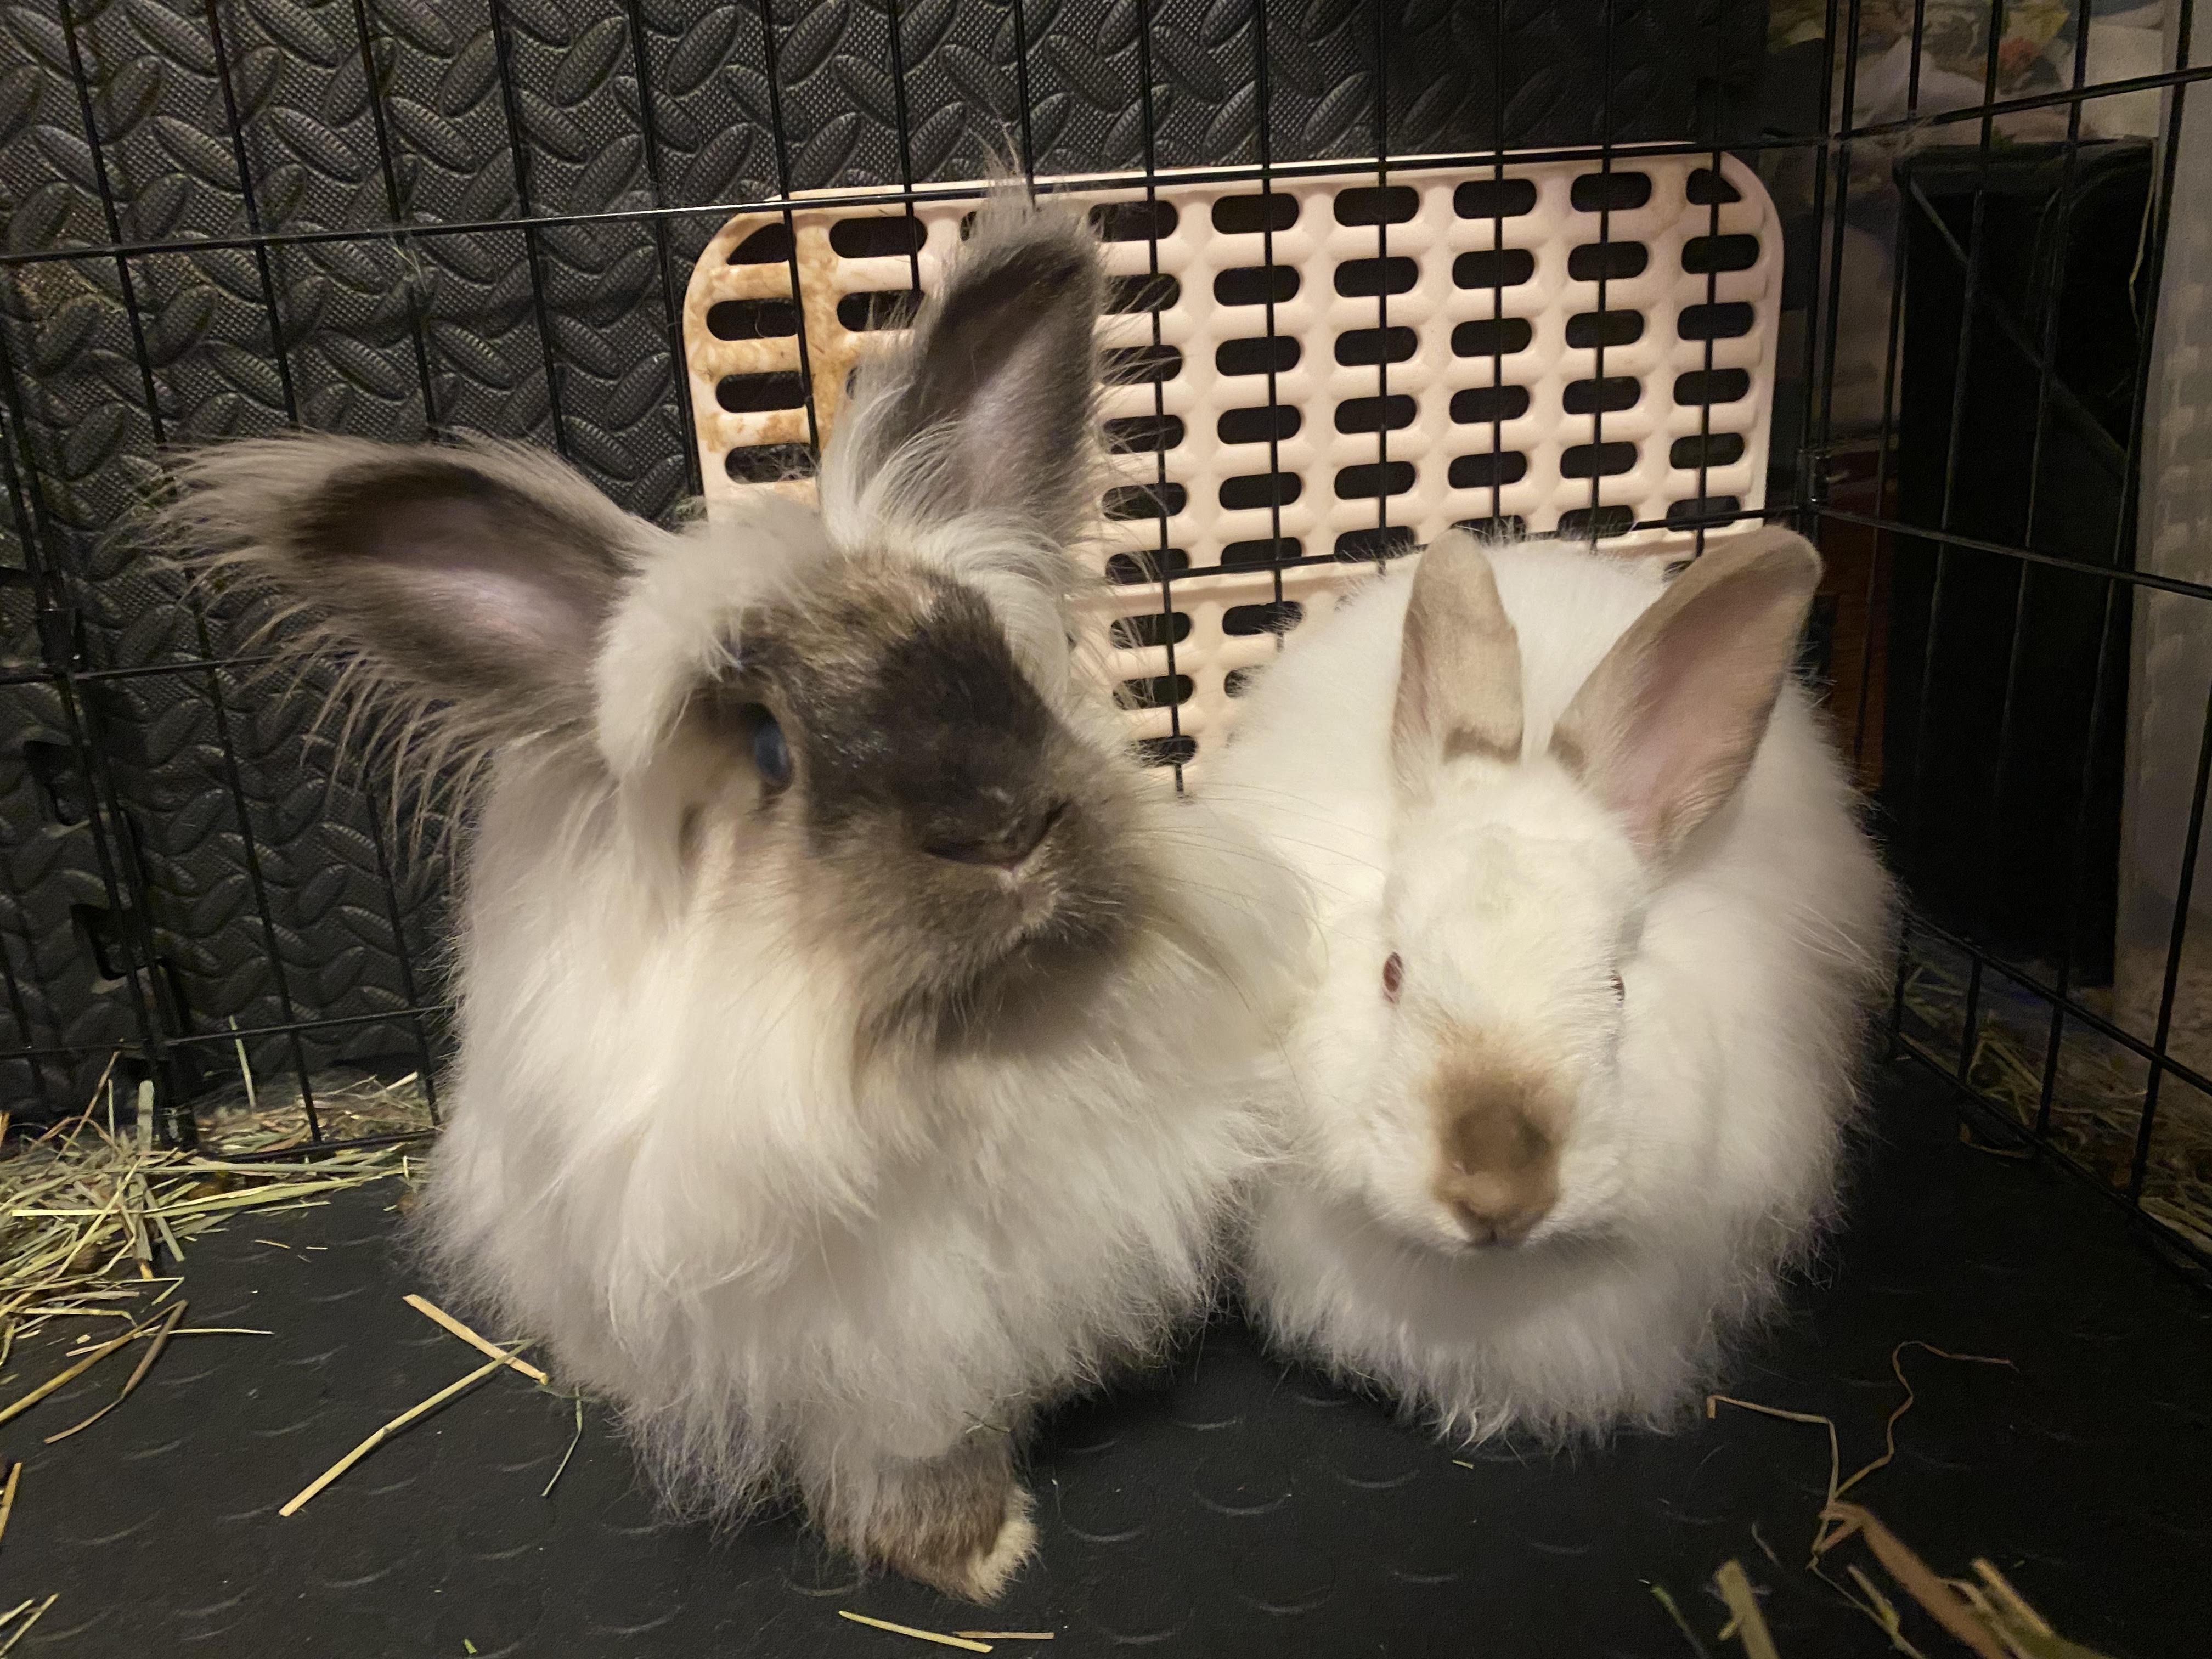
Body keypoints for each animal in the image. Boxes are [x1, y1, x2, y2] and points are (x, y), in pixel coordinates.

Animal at [153, 194, 1307, 1599]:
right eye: (767, 748)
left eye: (999, 668)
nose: (1002, 829)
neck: (969, 1059)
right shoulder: (868, 1365)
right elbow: (912, 1465)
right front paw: (978, 1557)